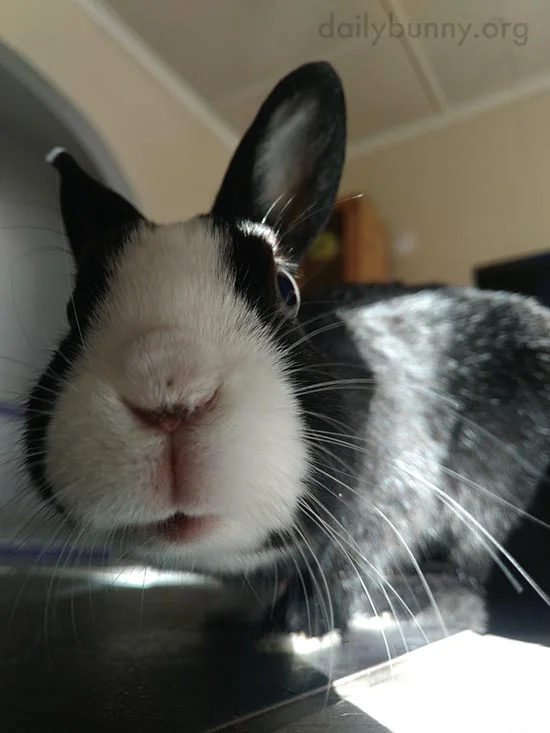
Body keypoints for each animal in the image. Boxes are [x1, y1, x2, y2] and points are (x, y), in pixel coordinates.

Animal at [23, 61, 550, 642]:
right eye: (73, 308)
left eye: (285, 289)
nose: (170, 398)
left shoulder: (399, 480)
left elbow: (355, 558)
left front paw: (305, 623)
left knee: (464, 570)